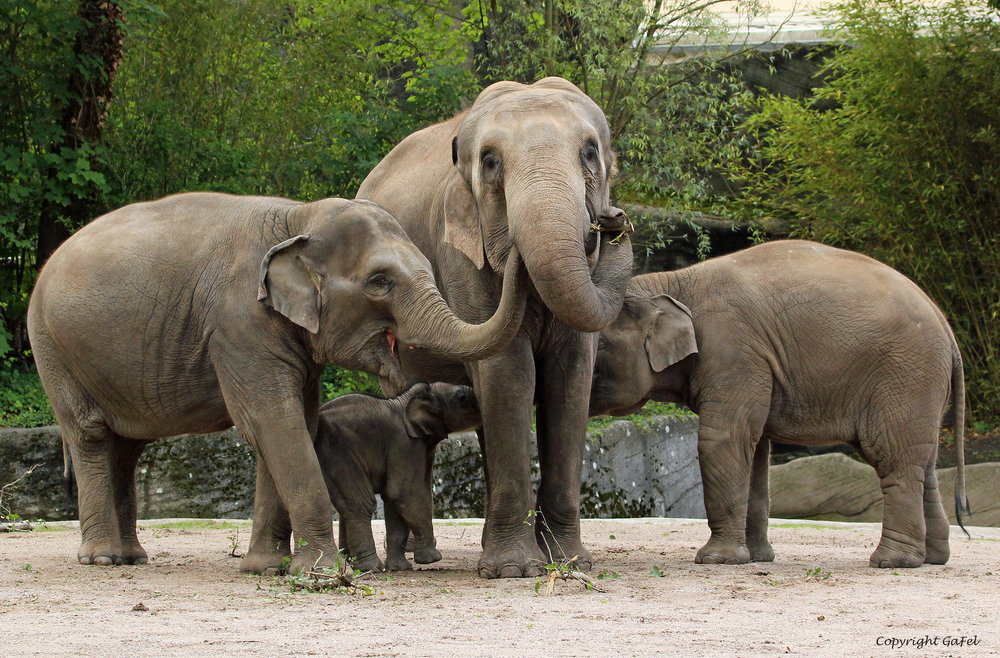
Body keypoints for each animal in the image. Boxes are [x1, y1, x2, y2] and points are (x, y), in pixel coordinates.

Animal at [27, 192, 528, 572]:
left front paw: (268, 567)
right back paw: (102, 558)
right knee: (91, 435)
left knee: (127, 448)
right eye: (379, 282)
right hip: (52, 348)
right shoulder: (239, 323)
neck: (298, 219)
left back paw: (132, 557)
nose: (516, 249)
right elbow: (272, 422)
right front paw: (320, 572)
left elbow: (295, 424)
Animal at [592, 238, 968, 568]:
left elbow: (723, 440)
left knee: (894, 458)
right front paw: (757, 558)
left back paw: (892, 562)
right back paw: (932, 559)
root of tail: (947, 329)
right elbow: (755, 451)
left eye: (601, 347)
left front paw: (717, 560)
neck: (673, 282)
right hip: (922, 385)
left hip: (905, 374)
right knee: (925, 463)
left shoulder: (733, 351)